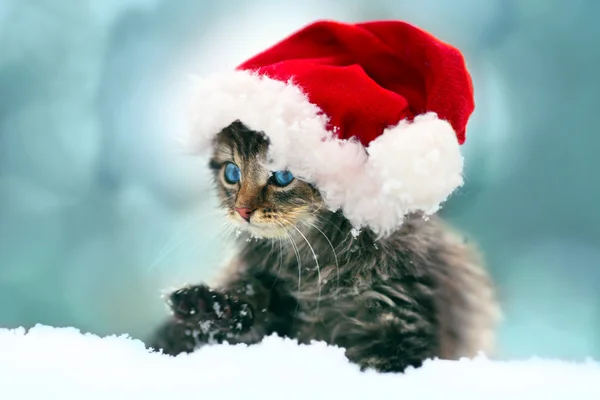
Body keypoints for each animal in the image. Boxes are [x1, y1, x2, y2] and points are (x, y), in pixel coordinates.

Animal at [148, 121, 500, 372]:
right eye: (232, 173)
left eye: (283, 175)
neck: (315, 260)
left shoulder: (402, 318)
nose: (242, 211)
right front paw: (210, 311)